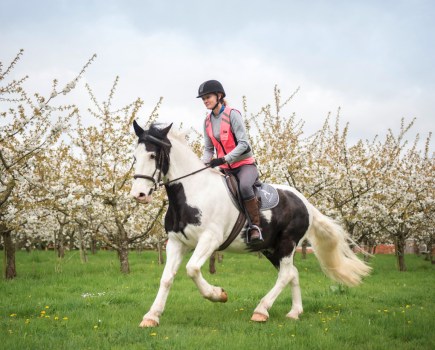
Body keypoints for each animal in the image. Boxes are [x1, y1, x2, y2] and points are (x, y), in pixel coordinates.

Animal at [130, 121, 372, 326]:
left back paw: (261, 310)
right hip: (270, 248)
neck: (193, 191)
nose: (138, 194)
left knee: (285, 275)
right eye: (134, 156)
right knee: (293, 273)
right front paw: (151, 316)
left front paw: (219, 295)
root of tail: (305, 202)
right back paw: (294, 312)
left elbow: (192, 269)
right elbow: (166, 278)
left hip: (287, 243)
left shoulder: (210, 239)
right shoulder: (176, 242)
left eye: (152, 155)